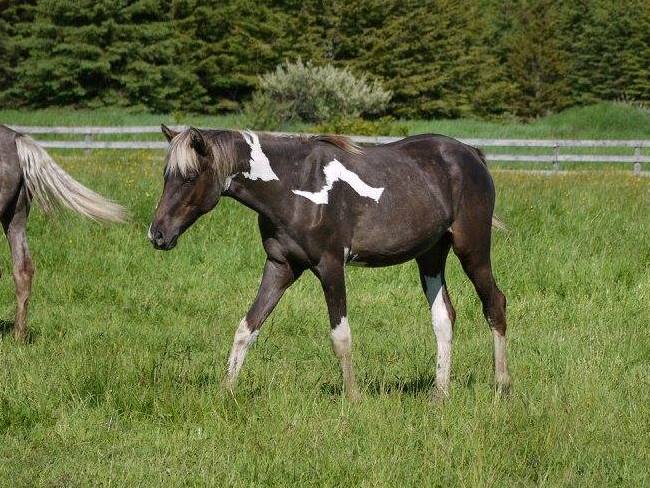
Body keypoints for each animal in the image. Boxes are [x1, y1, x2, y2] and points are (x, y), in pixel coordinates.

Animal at [149, 127, 508, 400]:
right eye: (166, 176)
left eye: (190, 176)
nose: (157, 234)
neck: (294, 185)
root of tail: (472, 154)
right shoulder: (280, 266)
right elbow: (246, 328)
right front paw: (226, 392)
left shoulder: (330, 266)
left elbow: (341, 337)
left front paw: (354, 397)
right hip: (431, 255)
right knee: (444, 318)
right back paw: (439, 395)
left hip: (472, 249)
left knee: (495, 304)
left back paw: (502, 387)